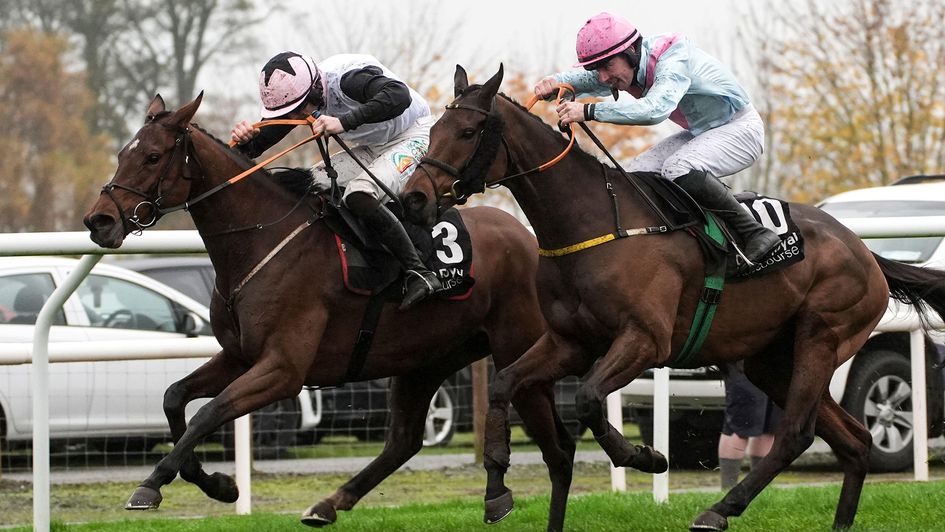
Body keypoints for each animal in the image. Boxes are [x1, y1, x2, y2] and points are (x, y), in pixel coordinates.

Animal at [83, 92, 576, 528]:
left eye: (152, 157)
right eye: (123, 154)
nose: (99, 221)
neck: (262, 241)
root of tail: (528, 238)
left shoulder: (283, 369)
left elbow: (207, 414)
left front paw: (153, 483)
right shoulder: (240, 356)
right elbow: (175, 398)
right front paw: (218, 485)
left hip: (515, 348)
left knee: (557, 443)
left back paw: (498, 493)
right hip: (426, 360)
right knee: (403, 441)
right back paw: (329, 504)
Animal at [402, 66, 944, 532]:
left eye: (468, 131)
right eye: (433, 130)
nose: (414, 198)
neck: (594, 223)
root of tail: (866, 251)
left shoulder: (646, 340)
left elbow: (590, 398)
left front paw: (645, 456)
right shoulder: (570, 342)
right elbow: (504, 384)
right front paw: (496, 486)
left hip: (821, 337)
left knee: (795, 433)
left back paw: (718, 510)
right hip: (772, 359)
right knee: (854, 440)